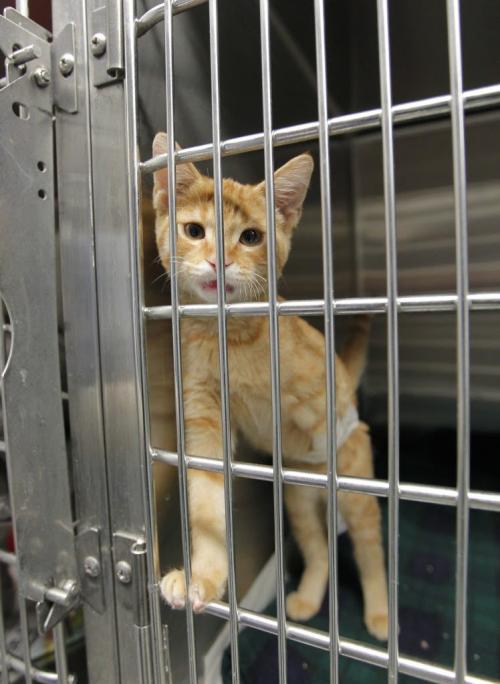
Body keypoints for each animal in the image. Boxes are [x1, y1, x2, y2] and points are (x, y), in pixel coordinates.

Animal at [150, 135, 388, 640]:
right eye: (194, 230)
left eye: (251, 237)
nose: (218, 260)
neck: (229, 339)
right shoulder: (203, 413)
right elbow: (206, 501)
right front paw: (203, 578)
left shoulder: (321, 384)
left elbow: (324, 408)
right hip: (298, 503)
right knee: (319, 549)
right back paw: (308, 598)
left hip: (357, 495)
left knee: (369, 548)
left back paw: (380, 613)